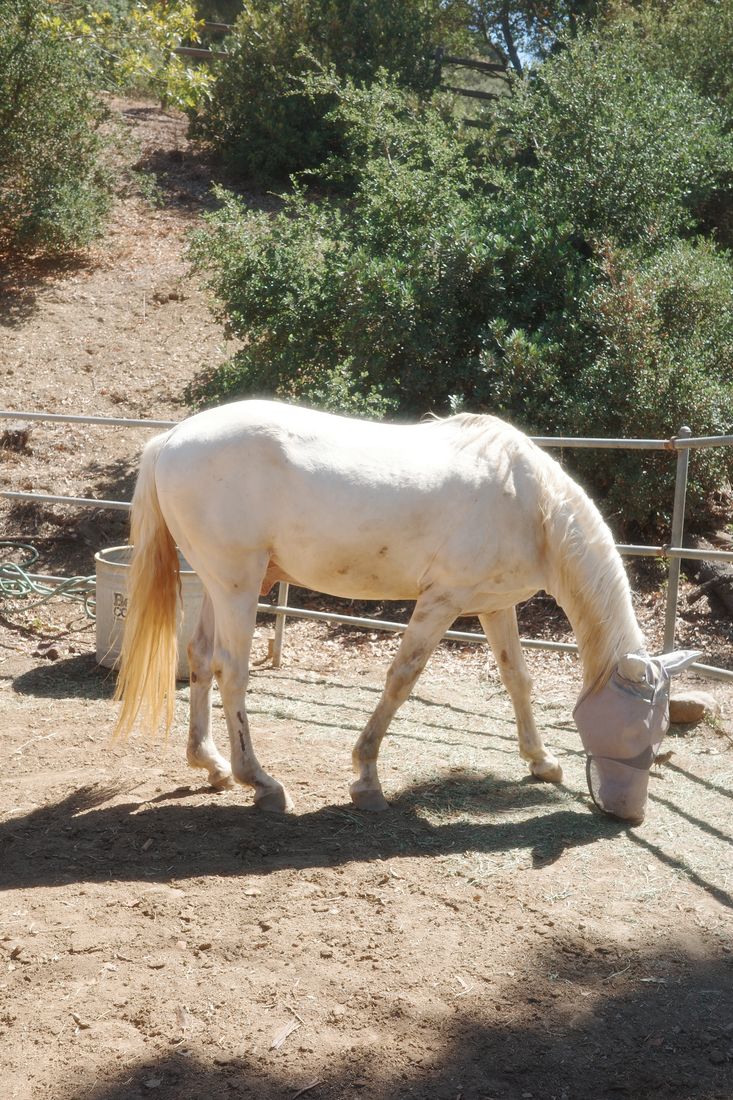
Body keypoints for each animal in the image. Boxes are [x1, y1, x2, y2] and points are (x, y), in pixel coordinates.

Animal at [114, 400, 699, 825]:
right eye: (641, 732)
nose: (630, 815)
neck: (531, 505)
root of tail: (171, 440)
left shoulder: (494, 605)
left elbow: (517, 680)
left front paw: (542, 761)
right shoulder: (441, 601)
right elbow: (402, 679)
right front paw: (366, 779)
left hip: (219, 583)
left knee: (199, 658)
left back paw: (210, 764)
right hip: (237, 583)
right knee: (231, 672)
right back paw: (260, 783)